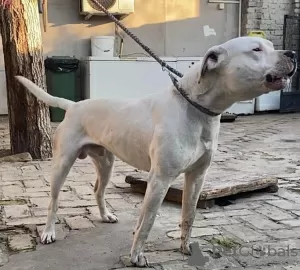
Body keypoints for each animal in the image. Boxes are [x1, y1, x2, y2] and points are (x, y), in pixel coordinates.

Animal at [15, 36, 296, 268]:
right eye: (256, 49)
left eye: (270, 46)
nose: (292, 53)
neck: (195, 109)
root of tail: (73, 105)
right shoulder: (160, 179)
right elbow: (147, 221)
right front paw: (136, 255)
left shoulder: (197, 177)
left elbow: (189, 214)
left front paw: (185, 246)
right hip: (62, 163)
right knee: (53, 201)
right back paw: (48, 232)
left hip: (106, 163)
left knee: (98, 190)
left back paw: (105, 216)